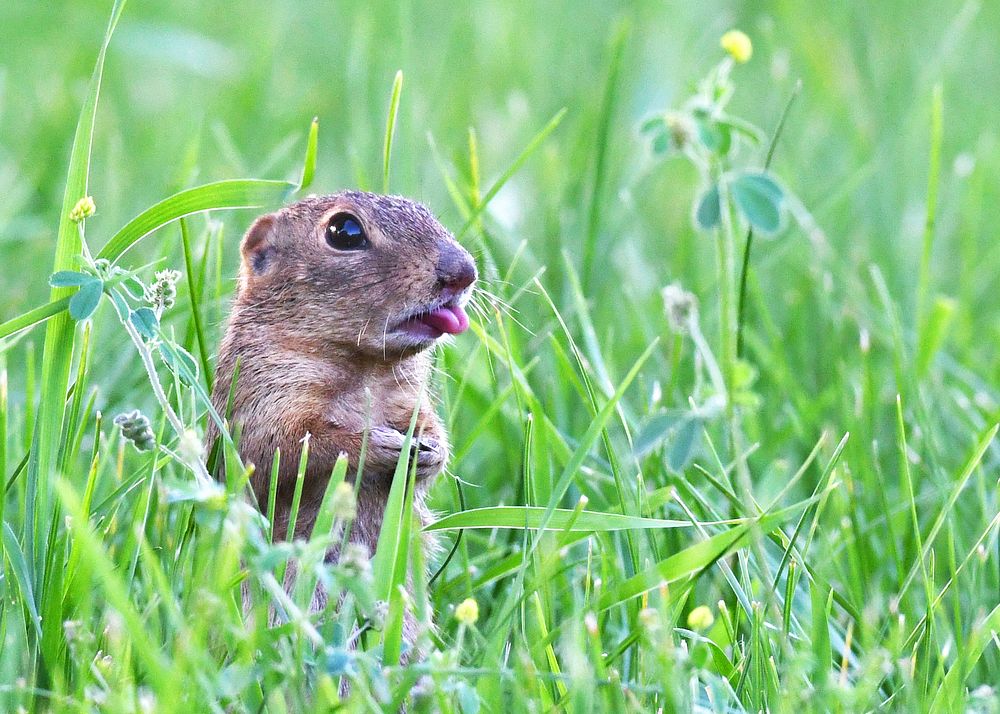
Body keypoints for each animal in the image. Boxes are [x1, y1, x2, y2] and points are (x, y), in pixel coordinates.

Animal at [207, 189, 476, 572]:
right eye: (344, 231)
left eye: (425, 211)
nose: (464, 272)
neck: (365, 371)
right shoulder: (262, 394)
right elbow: (277, 450)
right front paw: (374, 445)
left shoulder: (409, 398)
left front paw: (432, 451)